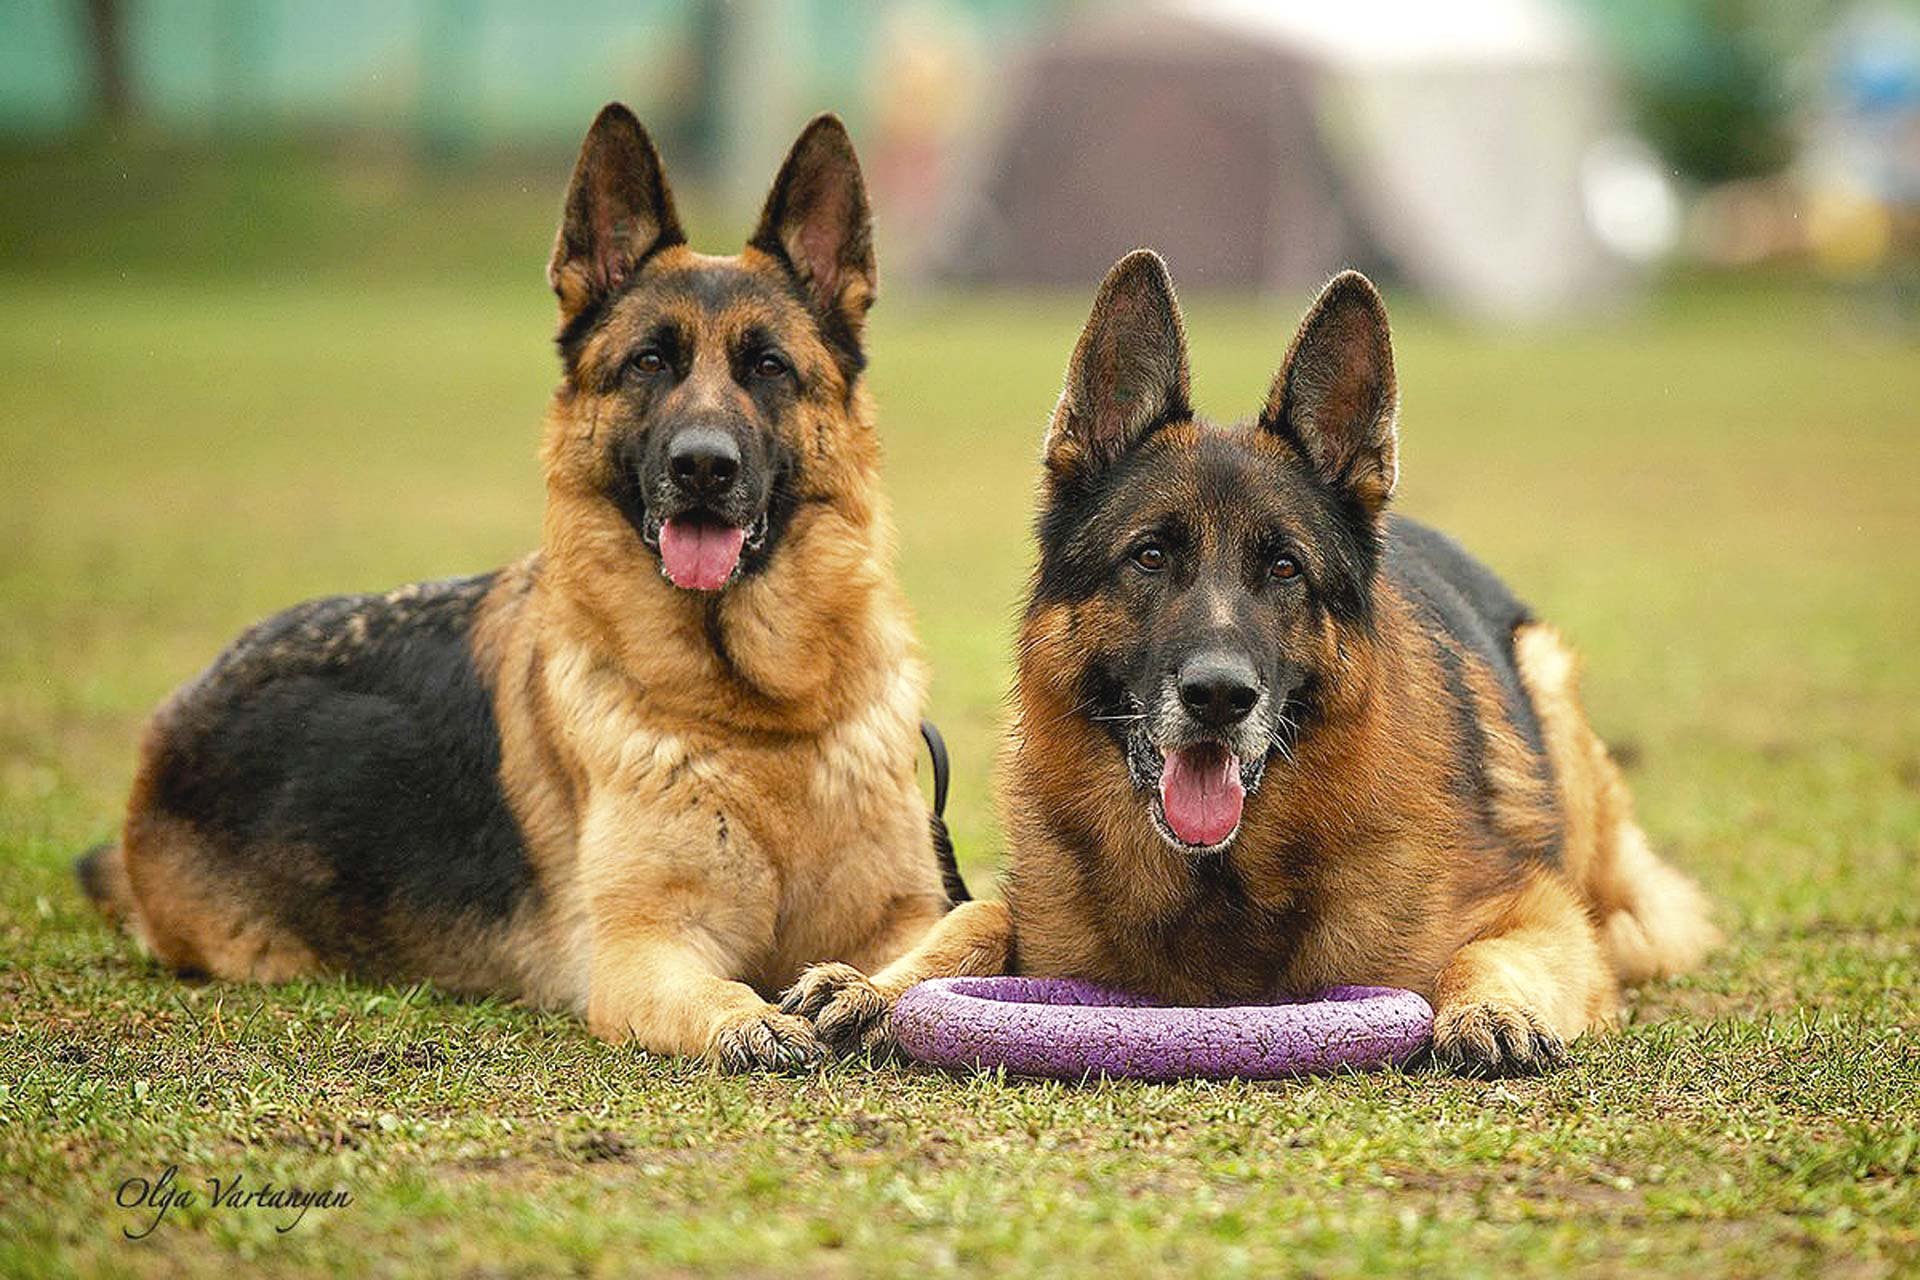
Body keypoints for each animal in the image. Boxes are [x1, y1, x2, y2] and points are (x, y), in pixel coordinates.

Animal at [80, 107, 967, 1074]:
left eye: (769, 367)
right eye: (649, 363)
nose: (702, 466)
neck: (760, 720)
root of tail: (174, 722)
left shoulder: (908, 913)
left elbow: (954, 941)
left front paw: (860, 995)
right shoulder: (643, 948)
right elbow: (716, 991)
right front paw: (751, 1021)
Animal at [787, 249, 1720, 1074]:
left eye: (1284, 568)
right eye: (1150, 556)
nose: (1218, 697)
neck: (1220, 885)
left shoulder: (1537, 911)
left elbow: (1486, 953)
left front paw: (1493, 1011)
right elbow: (974, 917)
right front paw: (874, 987)